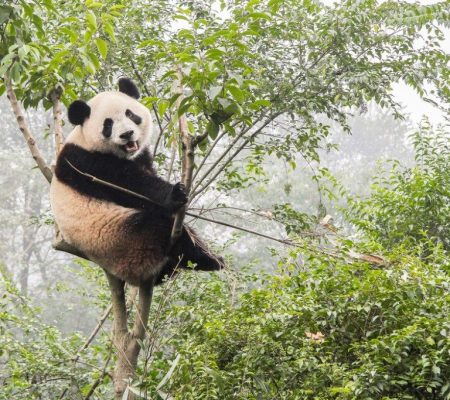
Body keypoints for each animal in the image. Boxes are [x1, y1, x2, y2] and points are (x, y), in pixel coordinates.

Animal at [50, 76, 224, 286]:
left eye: (130, 114)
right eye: (108, 125)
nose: (126, 134)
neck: (84, 140)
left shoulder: (140, 156)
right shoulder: (84, 163)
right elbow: (132, 186)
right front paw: (174, 194)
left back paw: (210, 257)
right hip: (123, 241)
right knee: (160, 226)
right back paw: (204, 258)